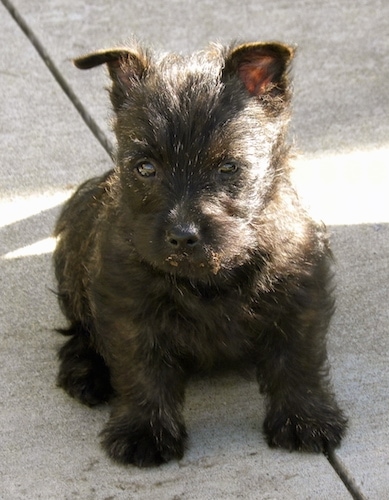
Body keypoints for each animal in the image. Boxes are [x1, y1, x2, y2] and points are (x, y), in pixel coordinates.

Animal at [53, 41, 346, 466]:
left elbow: (298, 357)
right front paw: (144, 431)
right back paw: (85, 372)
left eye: (228, 167)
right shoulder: (128, 308)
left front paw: (305, 418)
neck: (208, 275)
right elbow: (141, 369)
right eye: (145, 167)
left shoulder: (300, 293)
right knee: (79, 328)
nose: (182, 235)